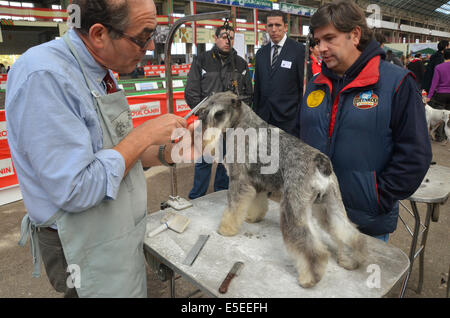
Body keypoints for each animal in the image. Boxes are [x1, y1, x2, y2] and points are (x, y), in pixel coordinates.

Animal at [195, 90, 368, 286]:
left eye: (217, 112)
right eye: (207, 103)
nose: (197, 115)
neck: (242, 123)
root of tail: (320, 162)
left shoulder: (238, 180)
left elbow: (233, 208)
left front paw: (226, 229)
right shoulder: (258, 184)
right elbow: (256, 204)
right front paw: (252, 218)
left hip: (292, 207)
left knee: (309, 246)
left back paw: (309, 278)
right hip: (329, 205)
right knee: (348, 232)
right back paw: (350, 260)